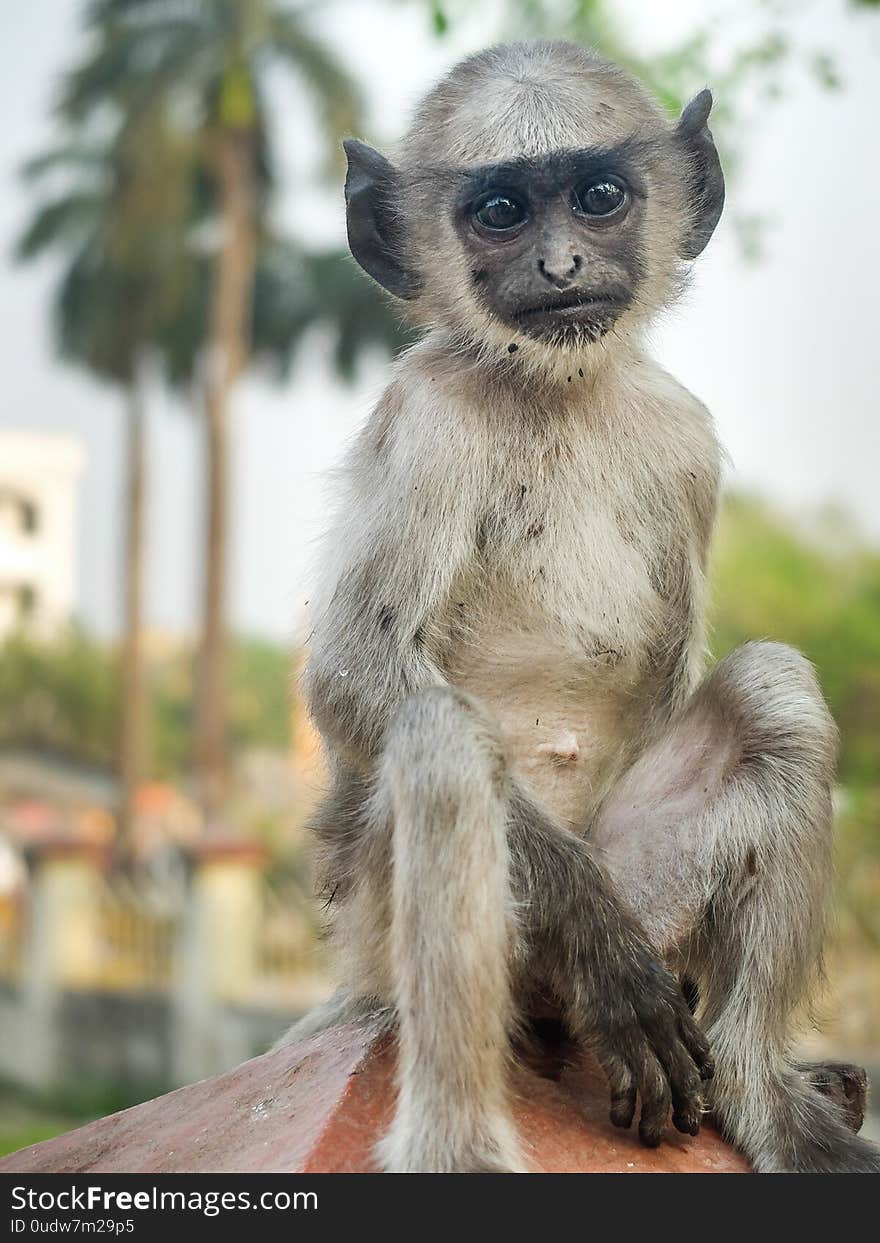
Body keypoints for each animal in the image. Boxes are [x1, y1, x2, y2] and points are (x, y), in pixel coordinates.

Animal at [283, 43, 879, 1173]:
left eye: (599, 198)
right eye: (501, 212)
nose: (559, 267)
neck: (555, 390)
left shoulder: (684, 440)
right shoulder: (428, 413)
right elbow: (354, 670)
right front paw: (602, 950)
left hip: (645, 877)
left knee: (772, 688)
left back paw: (762, 1094)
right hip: (409, 938)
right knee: (439, 739)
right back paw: (464, 1140)